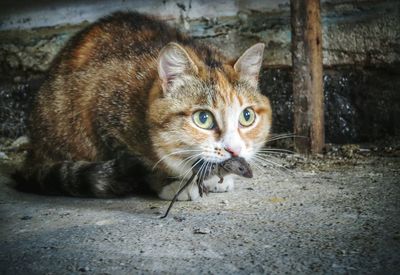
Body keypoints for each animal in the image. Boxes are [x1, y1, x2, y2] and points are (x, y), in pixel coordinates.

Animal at [17, 11, 272, 201]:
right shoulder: (101, 109)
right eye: (203, 118)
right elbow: (143, 163)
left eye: (247, 116)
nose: (234, 150)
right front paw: (172, 184)